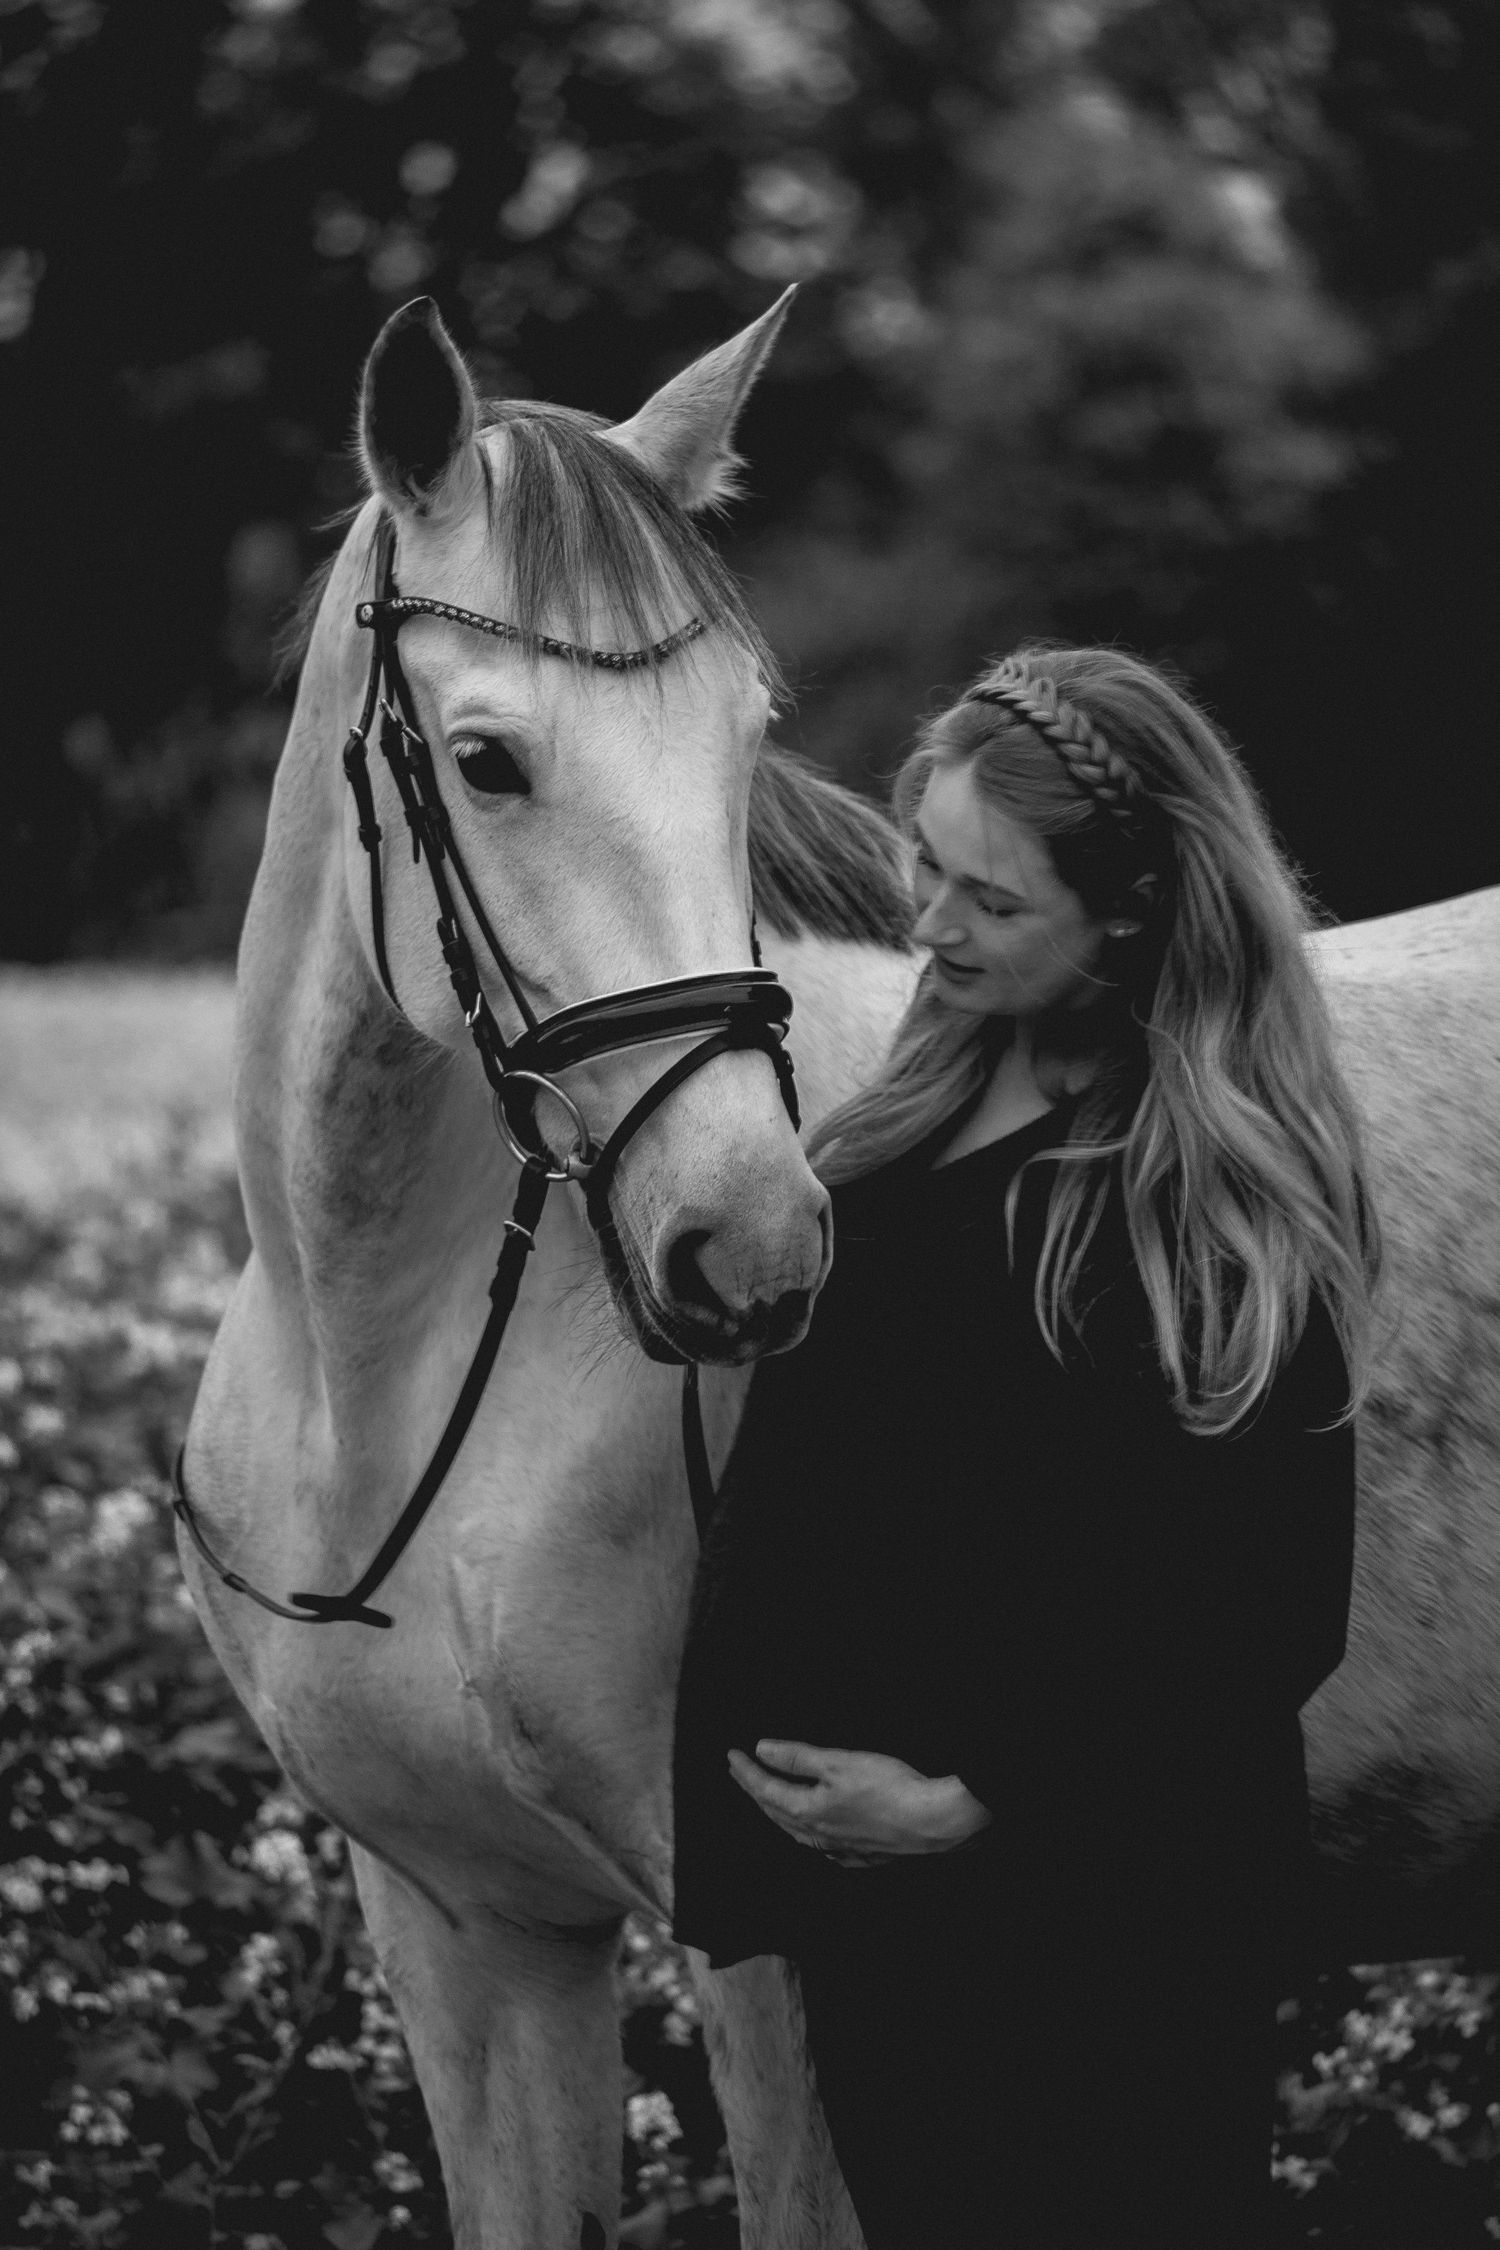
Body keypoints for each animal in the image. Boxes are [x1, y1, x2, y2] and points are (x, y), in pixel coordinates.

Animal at [179, 283, 1500, 2245]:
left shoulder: (774, 1946)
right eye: (487, 759)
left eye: (745, 744)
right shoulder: (473, 1934)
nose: (755, 1242)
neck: (389, 1386)